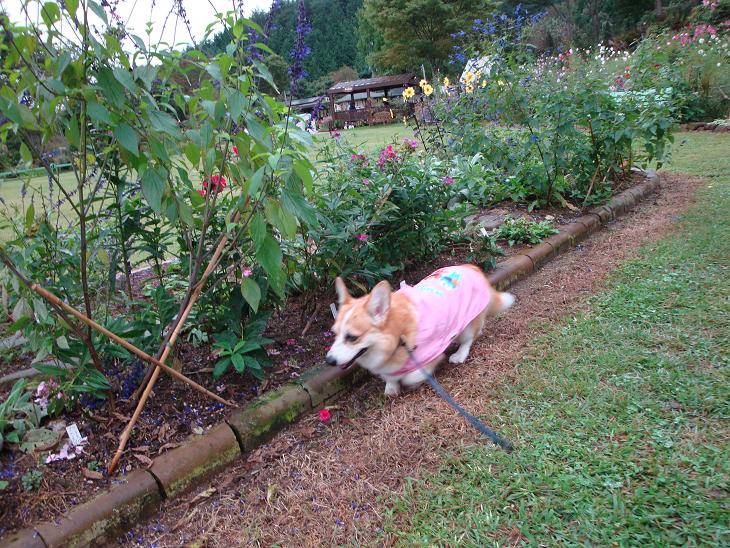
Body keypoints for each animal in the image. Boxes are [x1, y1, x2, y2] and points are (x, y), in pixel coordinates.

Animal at [324, 264, 512, 396]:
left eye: (352, 337)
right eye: (334, 334)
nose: (329, 361)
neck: (397, 336)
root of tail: (471, 267)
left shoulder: (432, 353)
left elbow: (412, 376)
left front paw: (411, 383)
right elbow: (389, 376)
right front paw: (391, 387)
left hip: (466, 323)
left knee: (470, 338)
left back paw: (459, 354)